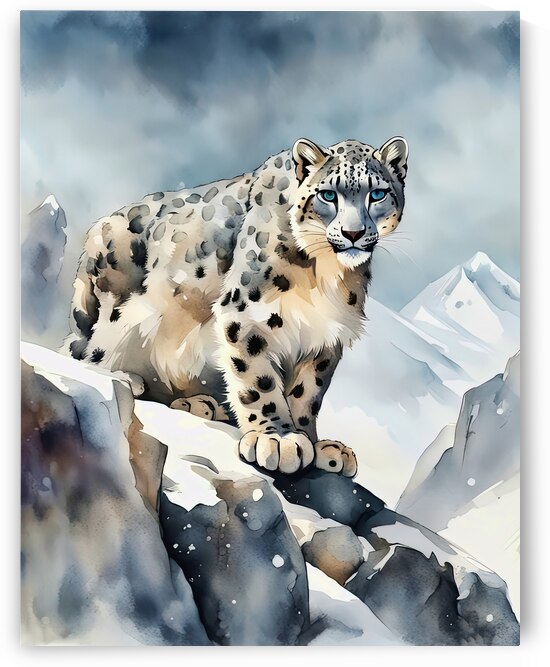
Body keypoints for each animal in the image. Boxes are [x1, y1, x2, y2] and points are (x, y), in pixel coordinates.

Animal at [63, 136, 409, 478]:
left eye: (377, 194)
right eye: (328, 195)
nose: (354, 233)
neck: (325, 272)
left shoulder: (325, 334)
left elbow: (308, 392)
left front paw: (314, 443)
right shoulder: (246, 314)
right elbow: (258, 379)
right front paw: (278, 439)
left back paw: (199, 404)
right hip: (115, 308)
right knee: (87, 352)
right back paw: (130, 380)